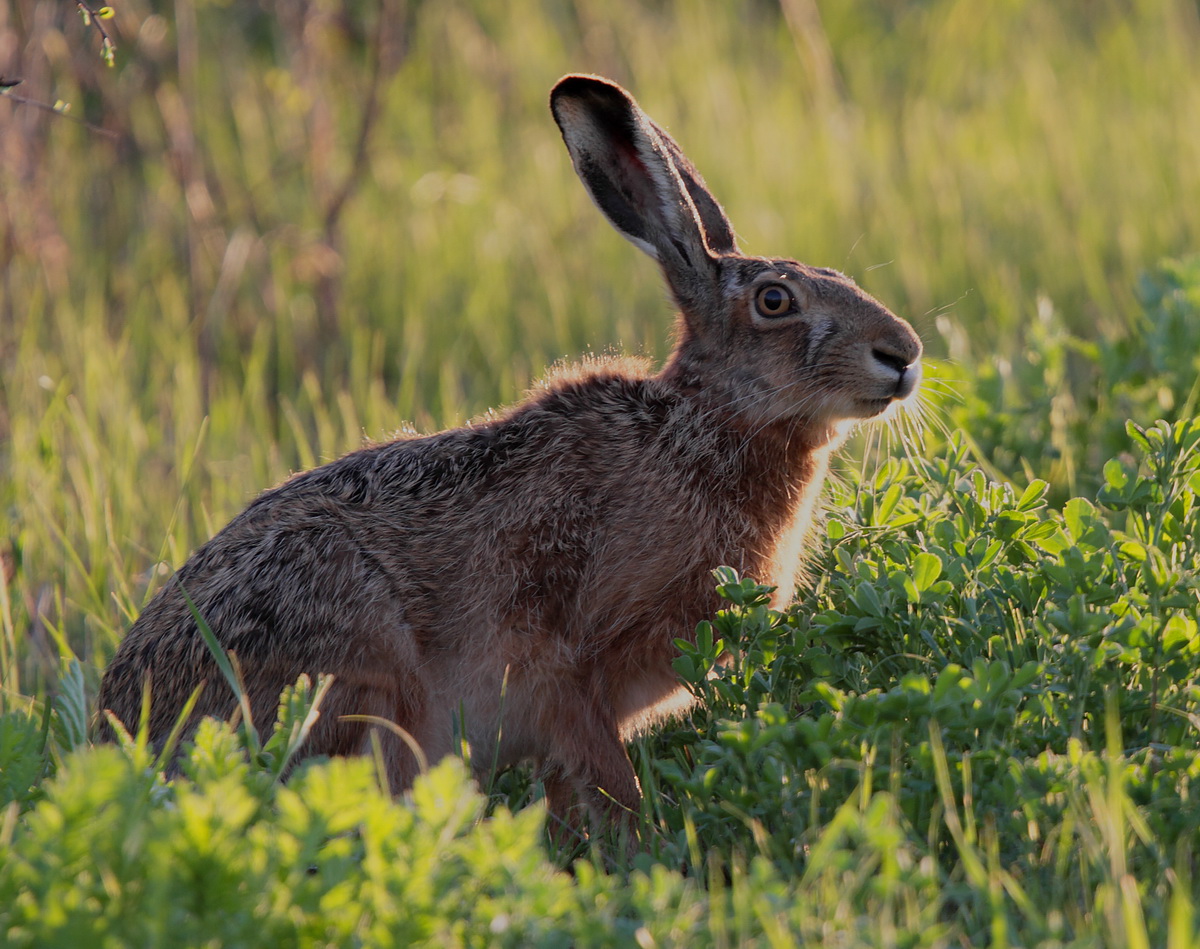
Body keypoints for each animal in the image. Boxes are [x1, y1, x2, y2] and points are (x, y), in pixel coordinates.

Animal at [97, 74, 922, 838]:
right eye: (775, 302)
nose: (904, 354)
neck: (705, 424)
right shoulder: (569, 669)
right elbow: (610, 784)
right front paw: (638, 855)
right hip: (356, 670)